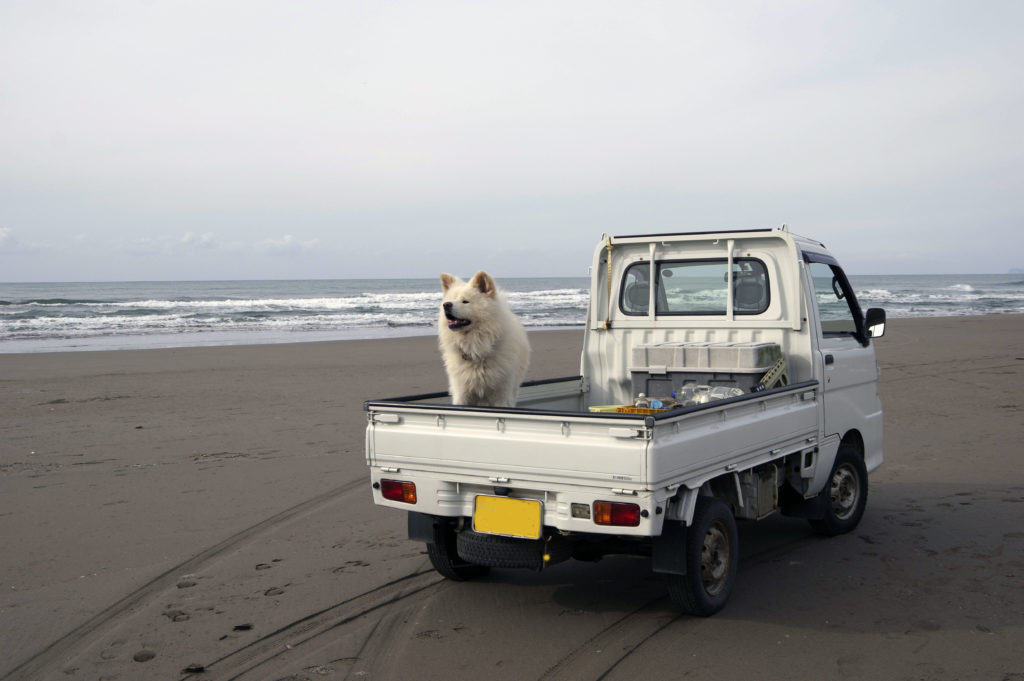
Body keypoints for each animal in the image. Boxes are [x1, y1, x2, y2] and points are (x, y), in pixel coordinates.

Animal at [438, 270, 532, 405]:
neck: (477, 351)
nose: (446, 305)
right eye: (451, 300)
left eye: (465, 301)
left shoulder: (501, 394)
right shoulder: (461, 392)